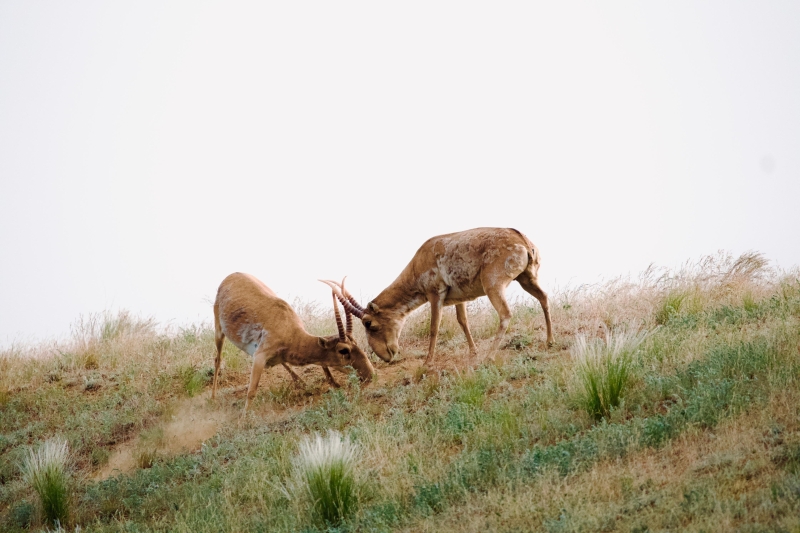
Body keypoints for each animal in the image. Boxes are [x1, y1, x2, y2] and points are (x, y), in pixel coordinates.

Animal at [212, 272, 376, 410]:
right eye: (343, 350)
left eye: (355, 342)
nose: (370, 373)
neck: (291, 333)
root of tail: (230, 277)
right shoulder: (259, 357)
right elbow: (251, 391)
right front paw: (244, 419)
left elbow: (323, 365)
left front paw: (333, 383)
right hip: (219, 331)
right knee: (217, 359)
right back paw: (213, 395)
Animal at [322, 227, 552, 368]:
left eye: (369, 323)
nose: (386, 356)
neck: (417, 264)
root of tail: (522, 240)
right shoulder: (459, 299)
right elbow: (463, 322)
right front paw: (473, 352)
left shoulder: (435, 294)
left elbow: (434, 327)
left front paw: (427, 362)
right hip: (527, 279)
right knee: (544, 298)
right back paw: (550, 341)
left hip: (494, 286)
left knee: (505, 314)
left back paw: (489, 356)